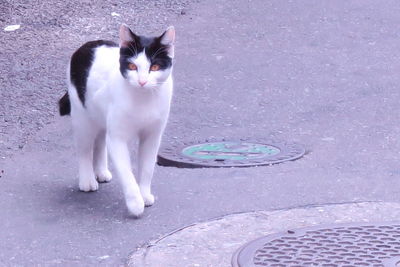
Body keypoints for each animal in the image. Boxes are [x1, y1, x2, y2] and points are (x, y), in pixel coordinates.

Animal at [58, 24, 175, 218]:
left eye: (155, 66)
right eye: (132, 66)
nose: (142, 81)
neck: (143, 99)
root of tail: (88, 44)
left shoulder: (152, 136)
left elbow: (147, 168)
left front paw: (144, 195)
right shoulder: (117, 139)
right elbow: (127, 174)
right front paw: (135, 204)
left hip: (101, 117)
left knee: (99, 142)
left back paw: (101, 171)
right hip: (83, 119)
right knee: (85, 149)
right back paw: (87, 180)